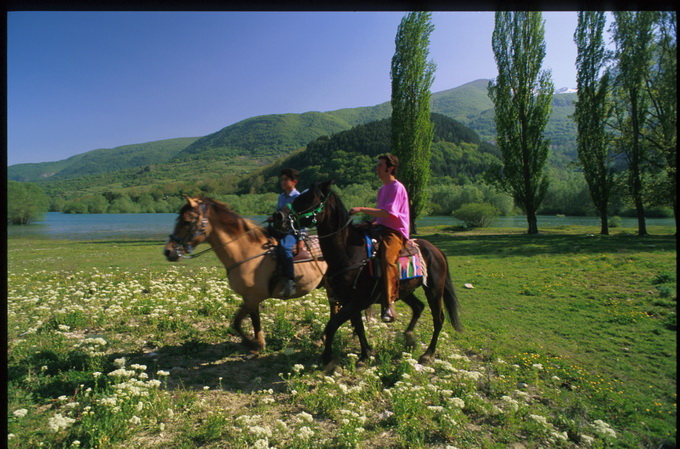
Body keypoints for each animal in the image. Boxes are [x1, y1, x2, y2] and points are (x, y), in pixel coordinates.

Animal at [162, 195, 326, 350]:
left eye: (186, 221)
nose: (168, 251)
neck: (247, 253)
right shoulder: (248, 299)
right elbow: (237, 322)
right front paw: (252, 343)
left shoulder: (253, 298)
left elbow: (252, 323)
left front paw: (258, 345)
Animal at [272, 180, 462, 370]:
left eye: (307, 198)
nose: (277, 216)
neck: (350, 253)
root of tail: (436, 250)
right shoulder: (350, 300)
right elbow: (358, 326)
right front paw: (365, 355)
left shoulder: (359, 300)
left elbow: (333, 325)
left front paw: (327, 358)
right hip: (403, 290)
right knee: (418, 307)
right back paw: (409, 337)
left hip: (434, 290)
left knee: (438, 319)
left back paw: (427, 354)